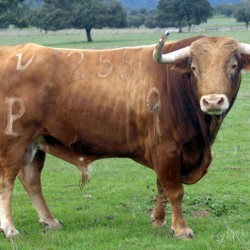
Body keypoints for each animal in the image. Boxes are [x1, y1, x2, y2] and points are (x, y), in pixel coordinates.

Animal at [0, 32, 250, 239]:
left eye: (234, 65)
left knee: (31, 180)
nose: (213, 101)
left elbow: (161, 186)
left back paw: (50, 221)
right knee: (7, 181)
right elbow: (175, 190)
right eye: (194, 68)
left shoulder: (165, 154)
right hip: (14, 141)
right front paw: (181, 229)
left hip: (35, 143)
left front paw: (158, 220)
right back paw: (10, 229)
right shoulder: (167, 150)